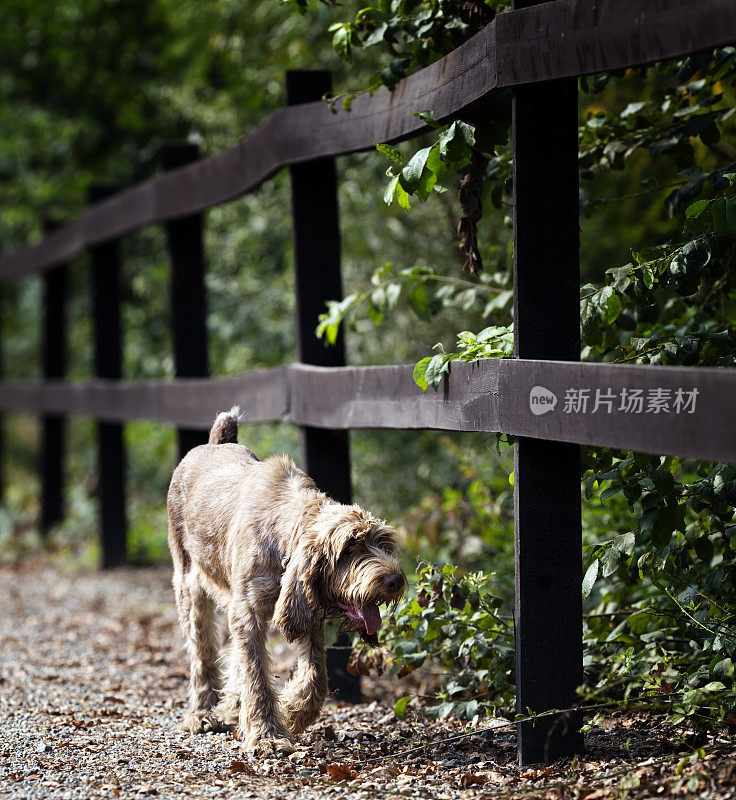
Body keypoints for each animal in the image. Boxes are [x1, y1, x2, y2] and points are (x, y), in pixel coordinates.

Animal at [167, 410, 406, 752]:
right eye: (349, 548)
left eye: (383, 543)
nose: (396, 580)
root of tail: (214, 443)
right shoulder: (248, 613)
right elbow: (256, 675)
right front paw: (267, 734)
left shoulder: (306, 612)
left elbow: (315, 676)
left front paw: (293, 711)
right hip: (190, 587)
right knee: (202, 653)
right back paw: (203, 714)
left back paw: (232, 707)